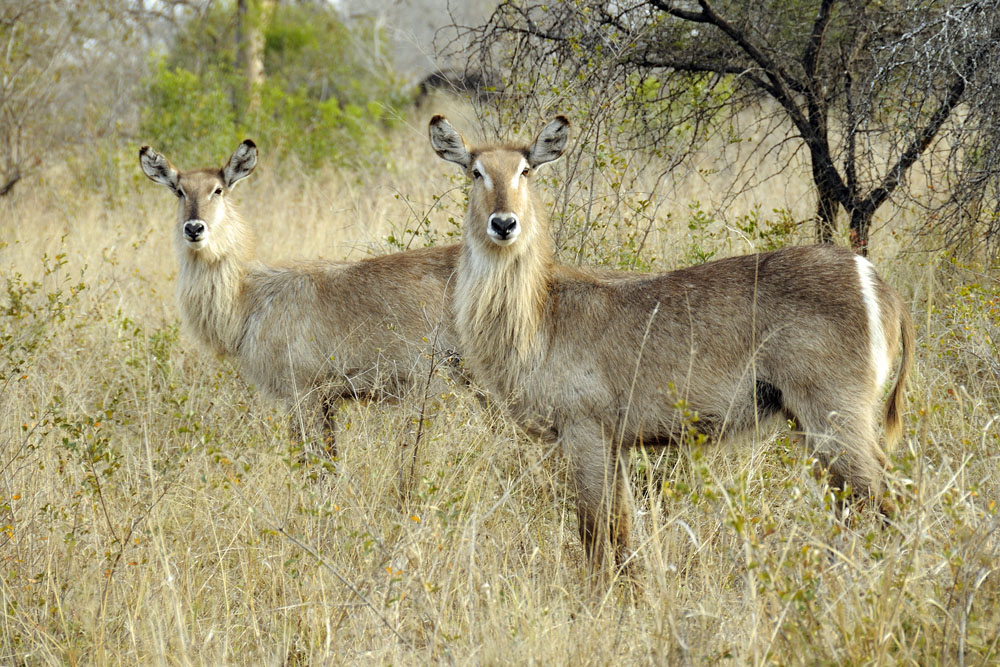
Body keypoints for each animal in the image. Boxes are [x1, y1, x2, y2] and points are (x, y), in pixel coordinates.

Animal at [139, 140, 461, 453]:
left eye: (217, 190)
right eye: (179, 191)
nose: (194, 228)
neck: (249, 298)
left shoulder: (300, 392)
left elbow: (304, 456)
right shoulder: (326, 399)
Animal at [429, 115, 914, 571]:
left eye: (525, 170)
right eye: (475, 172)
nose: (504, 223)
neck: (539, 314)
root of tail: (879, 284)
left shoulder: (584, 431)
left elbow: (596, 534)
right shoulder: (615, 444)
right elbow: (622, 532)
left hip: (835, 412)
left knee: (884, 497)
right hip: (807, 420)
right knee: (857, 502)